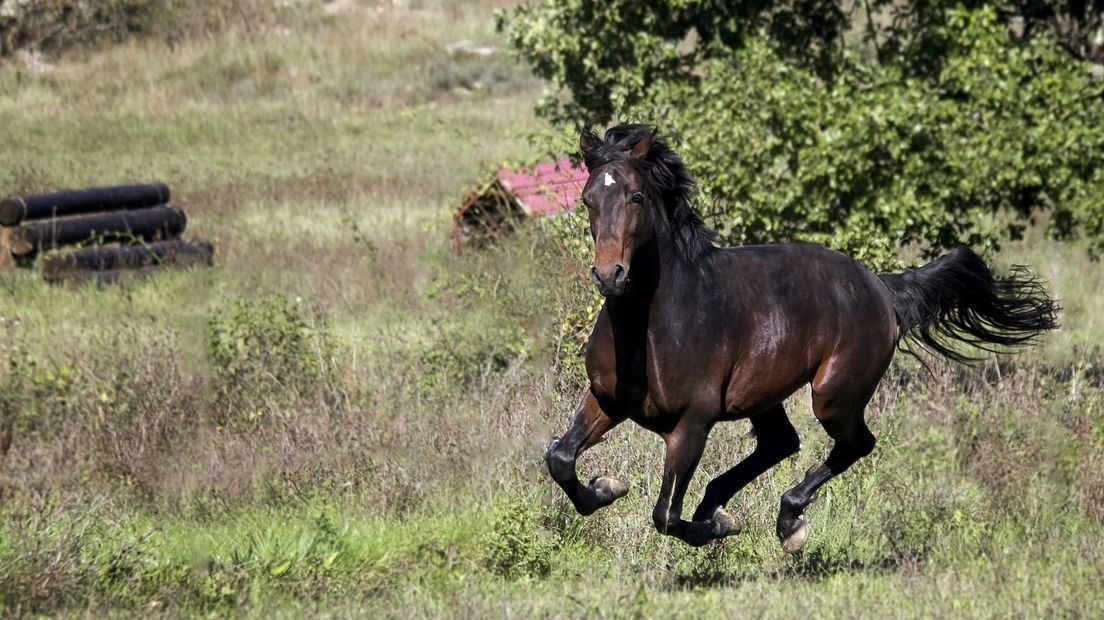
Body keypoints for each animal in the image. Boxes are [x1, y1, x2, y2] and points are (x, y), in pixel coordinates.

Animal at [545, 123, 1059, 547]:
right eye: (588, 199)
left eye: (634, 197)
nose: (610, 275)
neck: (654, 322)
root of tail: (881, 287)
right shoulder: (607, 400)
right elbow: (561, 458)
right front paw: (605, 489)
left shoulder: (691, 423)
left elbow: (665, 516)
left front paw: (716, 528)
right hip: (765, 394)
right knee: (781, 443)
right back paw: (726, 507)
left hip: (833, 395)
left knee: (854, 445)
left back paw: (787, 522)